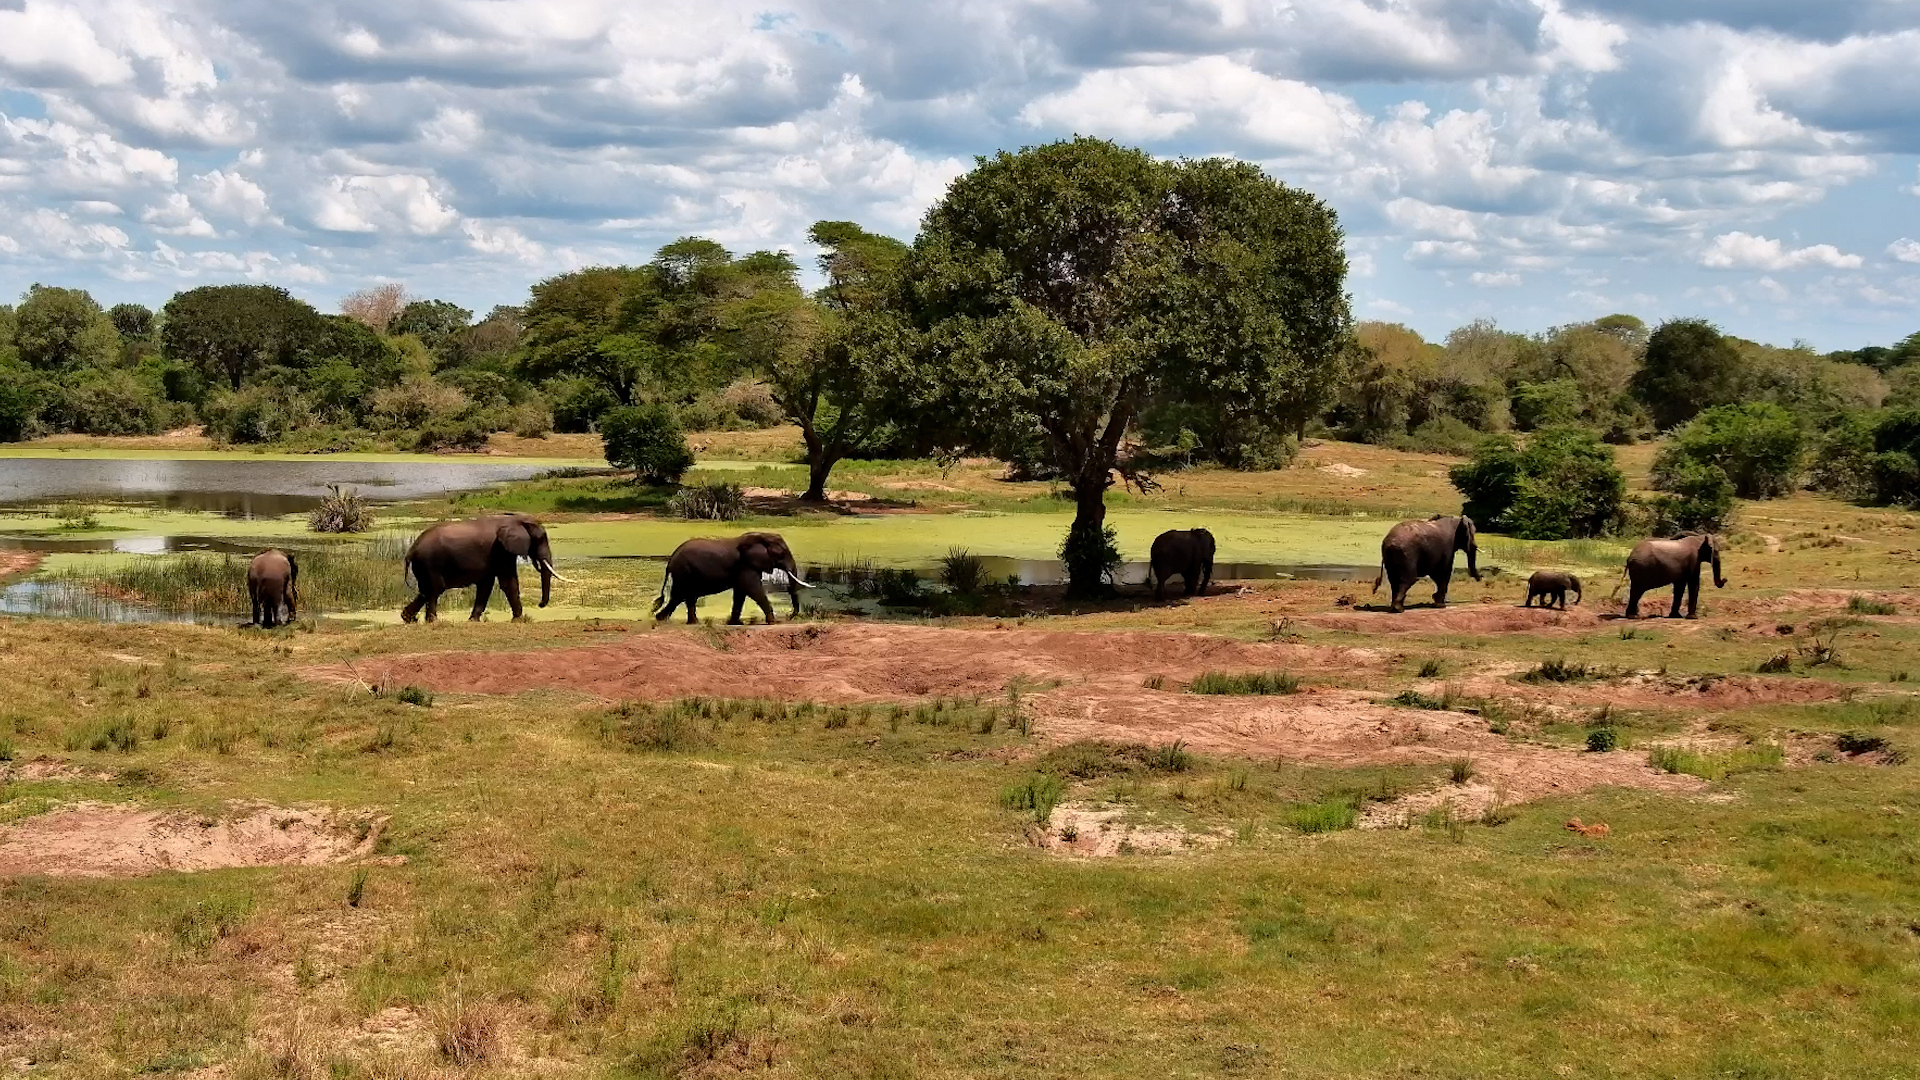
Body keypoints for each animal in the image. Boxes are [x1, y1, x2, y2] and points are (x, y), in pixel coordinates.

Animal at [401, 513, 570, 623]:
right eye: (540, 539)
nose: (540, 605)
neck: (516, 519)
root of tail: (410, 551)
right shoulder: (501, 550)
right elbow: (508, 583)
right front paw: (518, 619)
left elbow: (486, 585)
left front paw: (473, 621)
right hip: (430, 563)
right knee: (434, 590)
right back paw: (433, 621)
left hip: (424, 566)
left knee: (425, 591)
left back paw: (408, 619)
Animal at [653, 532, 812, 625]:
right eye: (782, 553)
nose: (790, 616)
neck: (761, 535)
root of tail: (670, 561)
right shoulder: (745, 565)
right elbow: (752, 589)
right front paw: (773, 622)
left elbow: (740, 593)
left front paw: (735, 623)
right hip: (684, 572)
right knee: (682, 596)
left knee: (681, 597)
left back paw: (667, 619)